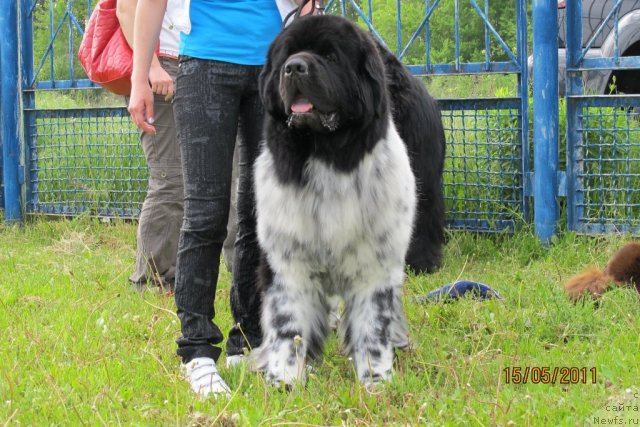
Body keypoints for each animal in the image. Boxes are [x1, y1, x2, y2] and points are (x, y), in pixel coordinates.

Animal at [250, 14, 444, 388]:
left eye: (331, 56)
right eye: (286, 57)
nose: (294, 68)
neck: (326, 157)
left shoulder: (375, 265)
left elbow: (373, 326)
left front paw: (376, 380)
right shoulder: (287, 260)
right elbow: (288, 326)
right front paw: (285, 380)